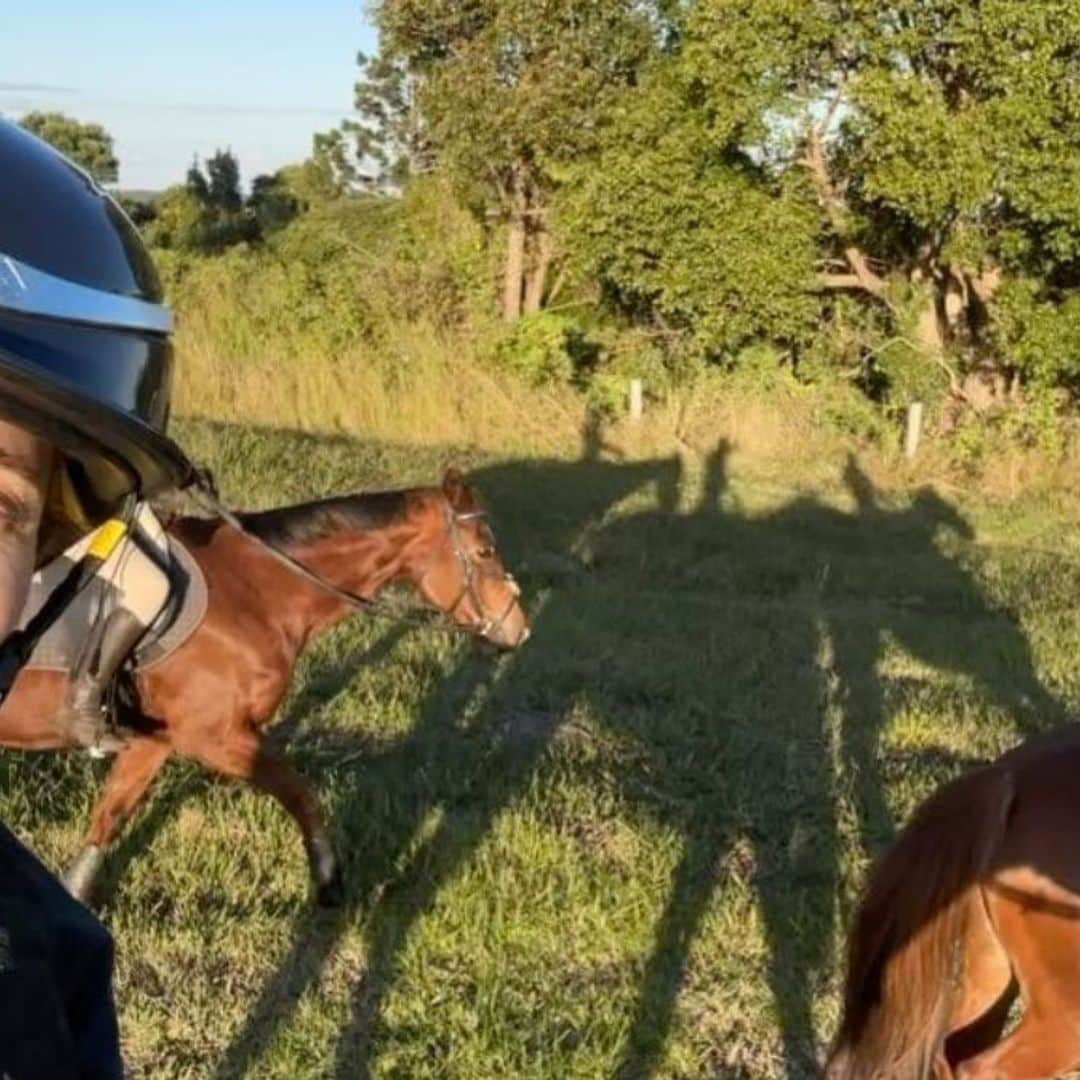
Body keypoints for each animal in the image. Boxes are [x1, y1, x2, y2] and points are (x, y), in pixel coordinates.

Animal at [0, 468, 527, 907]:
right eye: (485, 552)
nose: (517, 629)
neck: (256, 591)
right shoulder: (216, 738)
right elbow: (301, 793)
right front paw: (329, 883)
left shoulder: (154, 741)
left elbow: (109, 818)